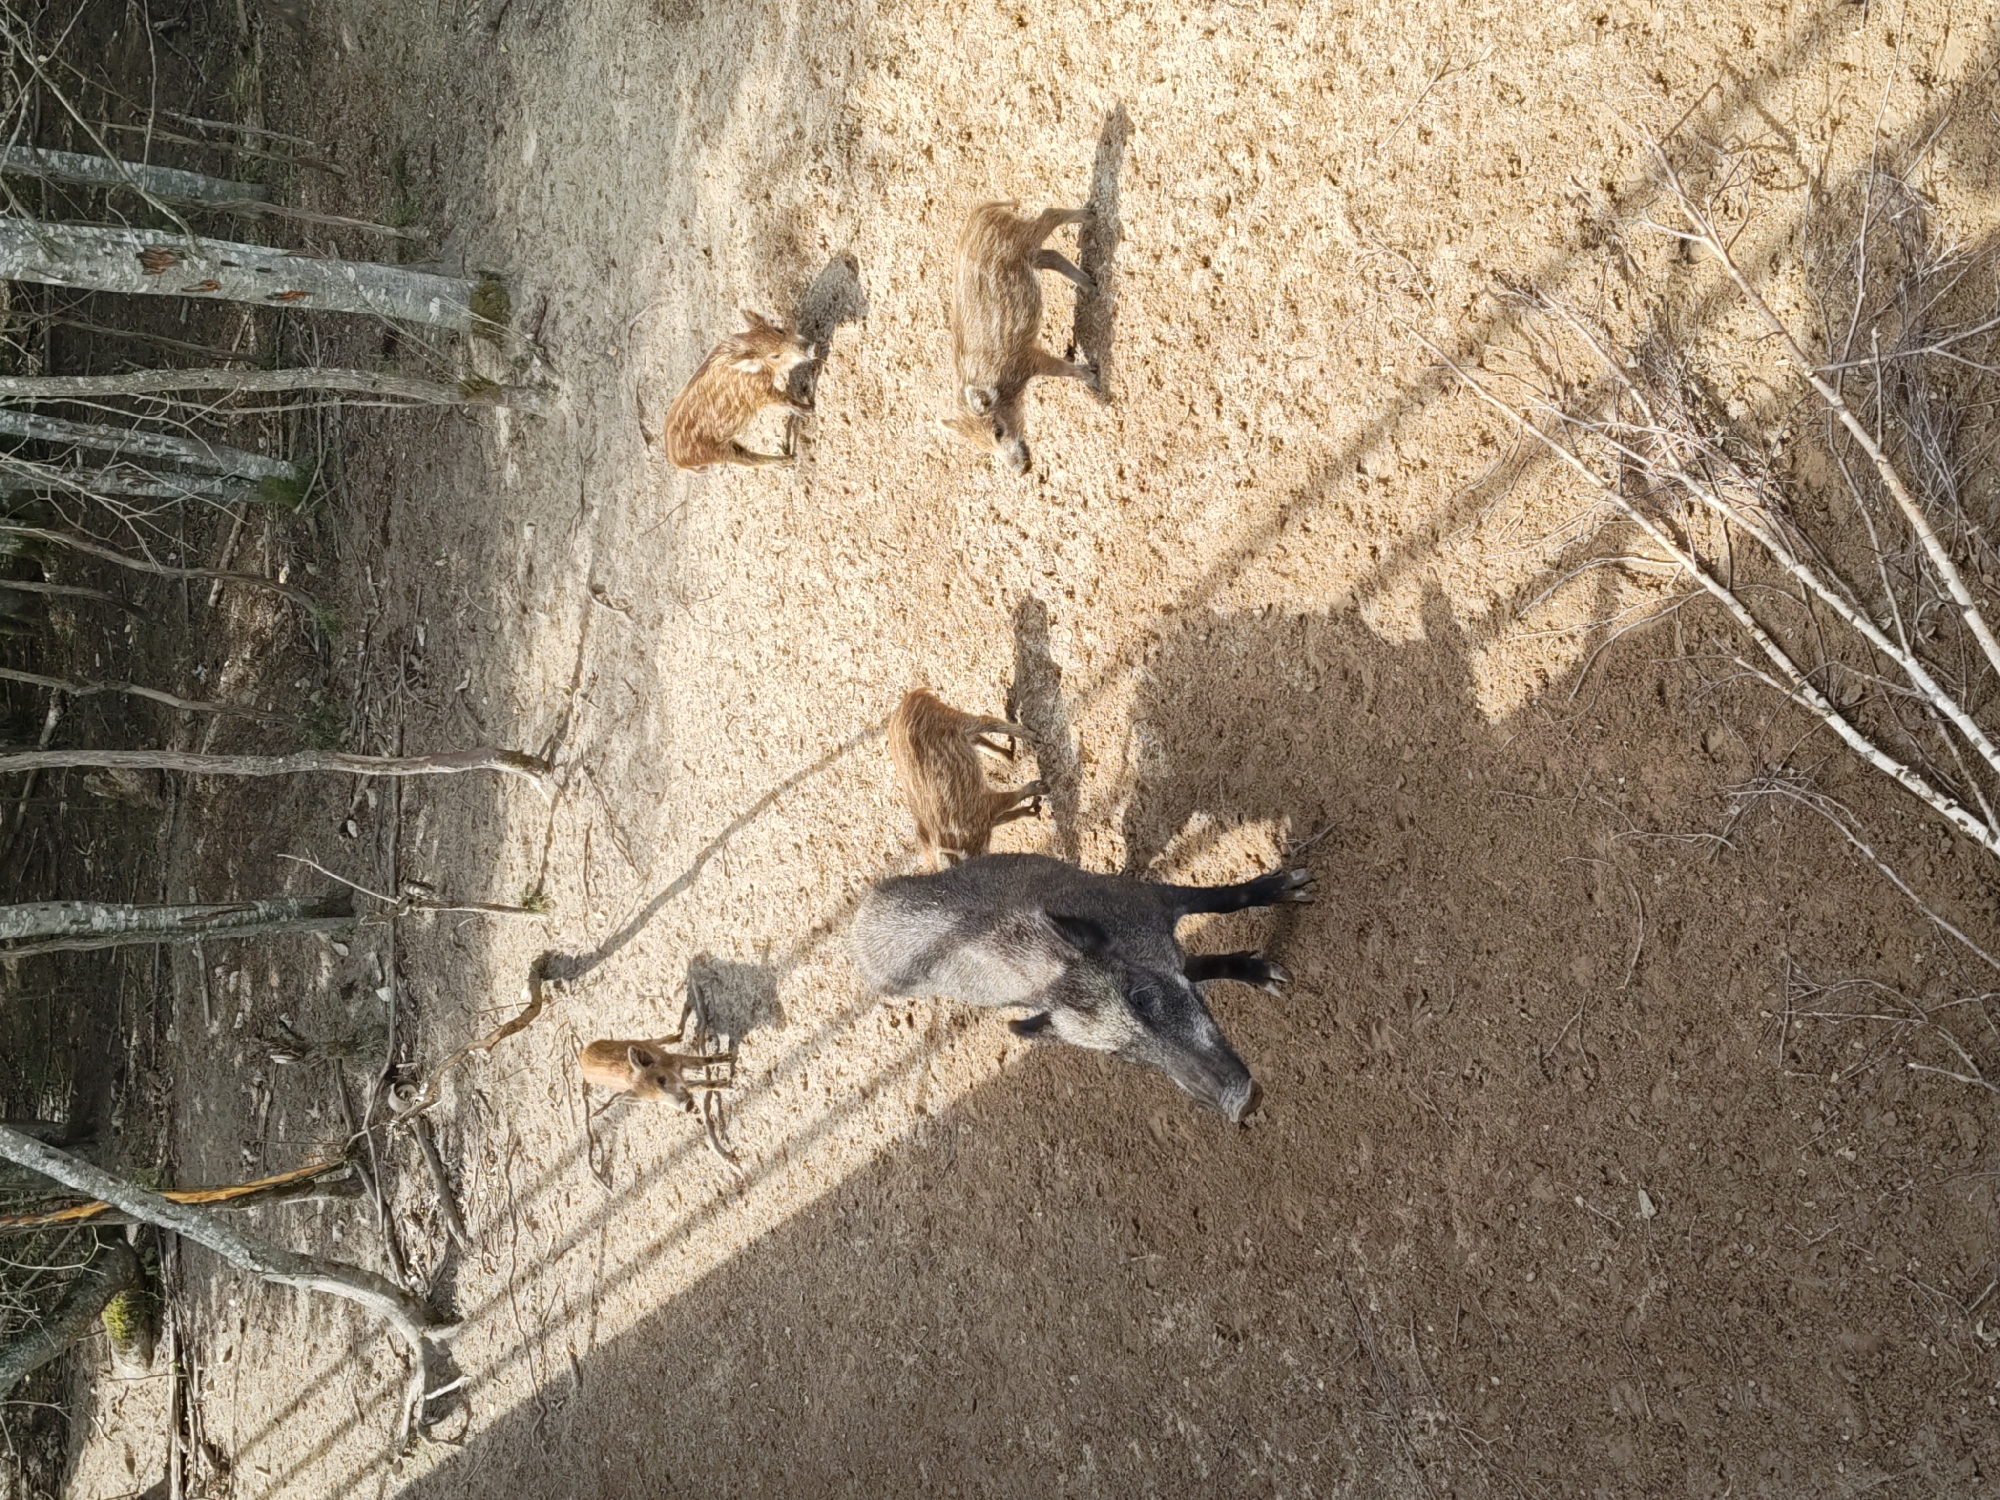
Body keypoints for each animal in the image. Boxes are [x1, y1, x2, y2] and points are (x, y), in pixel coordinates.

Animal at [662, 310, 816, 470]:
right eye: (775, 356)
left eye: (779, 330)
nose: (810, 346)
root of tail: (673, 459)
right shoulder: (762, 392)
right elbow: (786, 401)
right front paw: (811, 409)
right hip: (718, 452)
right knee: (748, 460)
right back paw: (792, 459)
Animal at [852, 853, 1312, 1122]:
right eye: (1118, 1055)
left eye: (1140, 998)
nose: (1243, 1103)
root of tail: (854, 929)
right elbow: (1202, 965)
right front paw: (1274, 977)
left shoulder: (1148, 897)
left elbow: (1223, 900)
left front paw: (1296, 887)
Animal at [889, 688, 1046, 867]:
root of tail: (913, 695)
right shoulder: (986, 816)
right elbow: (1007, 815)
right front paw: (1036, 809)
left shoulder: (982, 806)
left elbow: (1011, 799)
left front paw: (1042, 788)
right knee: (976, 738)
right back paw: (1009, 758)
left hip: (954, 718)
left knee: (986, 721)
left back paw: (1034, 738)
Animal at [944, 201, 1099, 475]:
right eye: (983, 447)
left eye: (998, 430)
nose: (1020, 470)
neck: (999, 384)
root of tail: (985, 209)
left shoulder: (1026, 358)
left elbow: (1062, 370)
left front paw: (1094, 379)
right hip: (1028, 255)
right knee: (1051, 254)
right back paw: (1090, 287)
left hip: (1024, 239)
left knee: (1048, 216)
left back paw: (1091, 217)